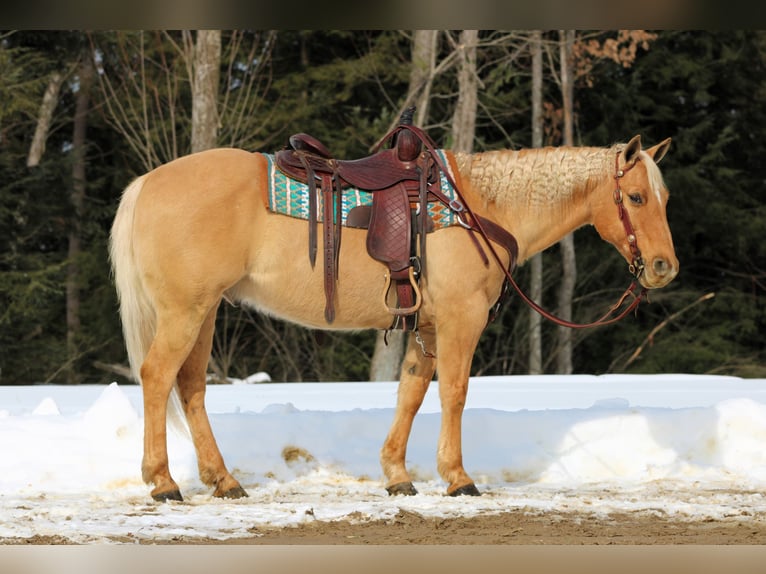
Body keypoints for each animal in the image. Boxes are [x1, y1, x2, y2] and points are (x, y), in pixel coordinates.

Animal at [109, 133, 678, 501]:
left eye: (664, 197)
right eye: (635, 197)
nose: (663, 267)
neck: (477, 206)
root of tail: (147, 183)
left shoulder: (426, 328)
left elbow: (411, 393)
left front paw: (397, 474)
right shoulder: (461, 321)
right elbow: (453, 393)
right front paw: (458, 477)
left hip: (203, 312)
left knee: (190, 388)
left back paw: (223, 481)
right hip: (185, 312)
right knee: (157, 377)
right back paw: (164, 483)